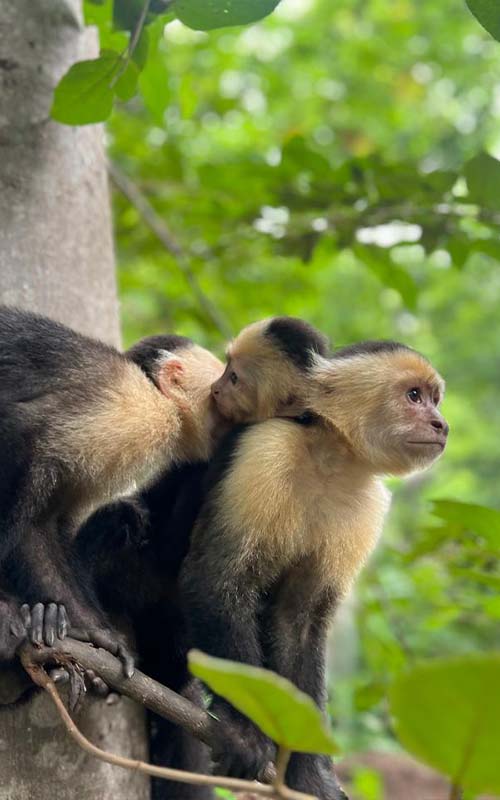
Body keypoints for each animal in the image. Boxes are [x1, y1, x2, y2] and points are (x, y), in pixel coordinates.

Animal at [181, 332, 450, 800]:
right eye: (414, 396)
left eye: (435, 399)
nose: (441, 424)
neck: (331, 458)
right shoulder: (265, 450)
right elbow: (217, 580)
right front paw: (244, 728)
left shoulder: (367, 505)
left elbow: (299, 621)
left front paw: (307, 774)